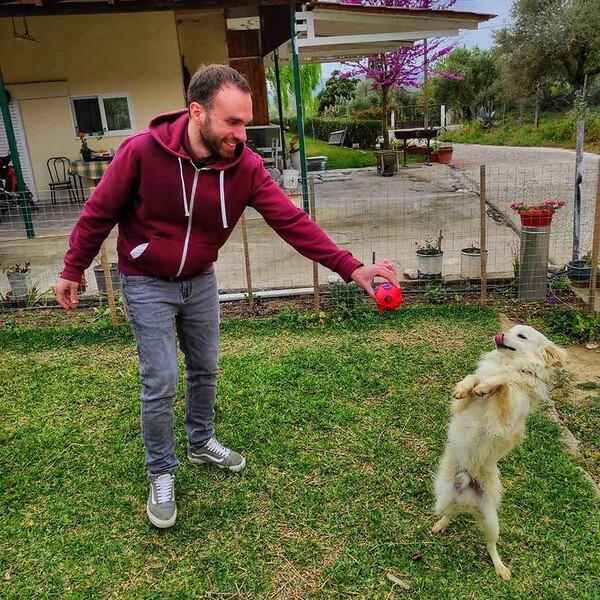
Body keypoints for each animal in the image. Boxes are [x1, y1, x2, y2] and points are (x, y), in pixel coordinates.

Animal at [432, 326, 568, 580]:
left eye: (521, 336)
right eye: (510, 330)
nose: (500, 333)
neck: (508, 363)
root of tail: (468, 496)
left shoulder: (502, 422)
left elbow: (502, 382)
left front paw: (489, 385)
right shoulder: (460, 407)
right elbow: (474, 378)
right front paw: (465, 386)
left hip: (491, 521)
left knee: (491, 545)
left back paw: (500, 568)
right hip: (444, 497)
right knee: (451, 511)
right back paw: (441, 524)